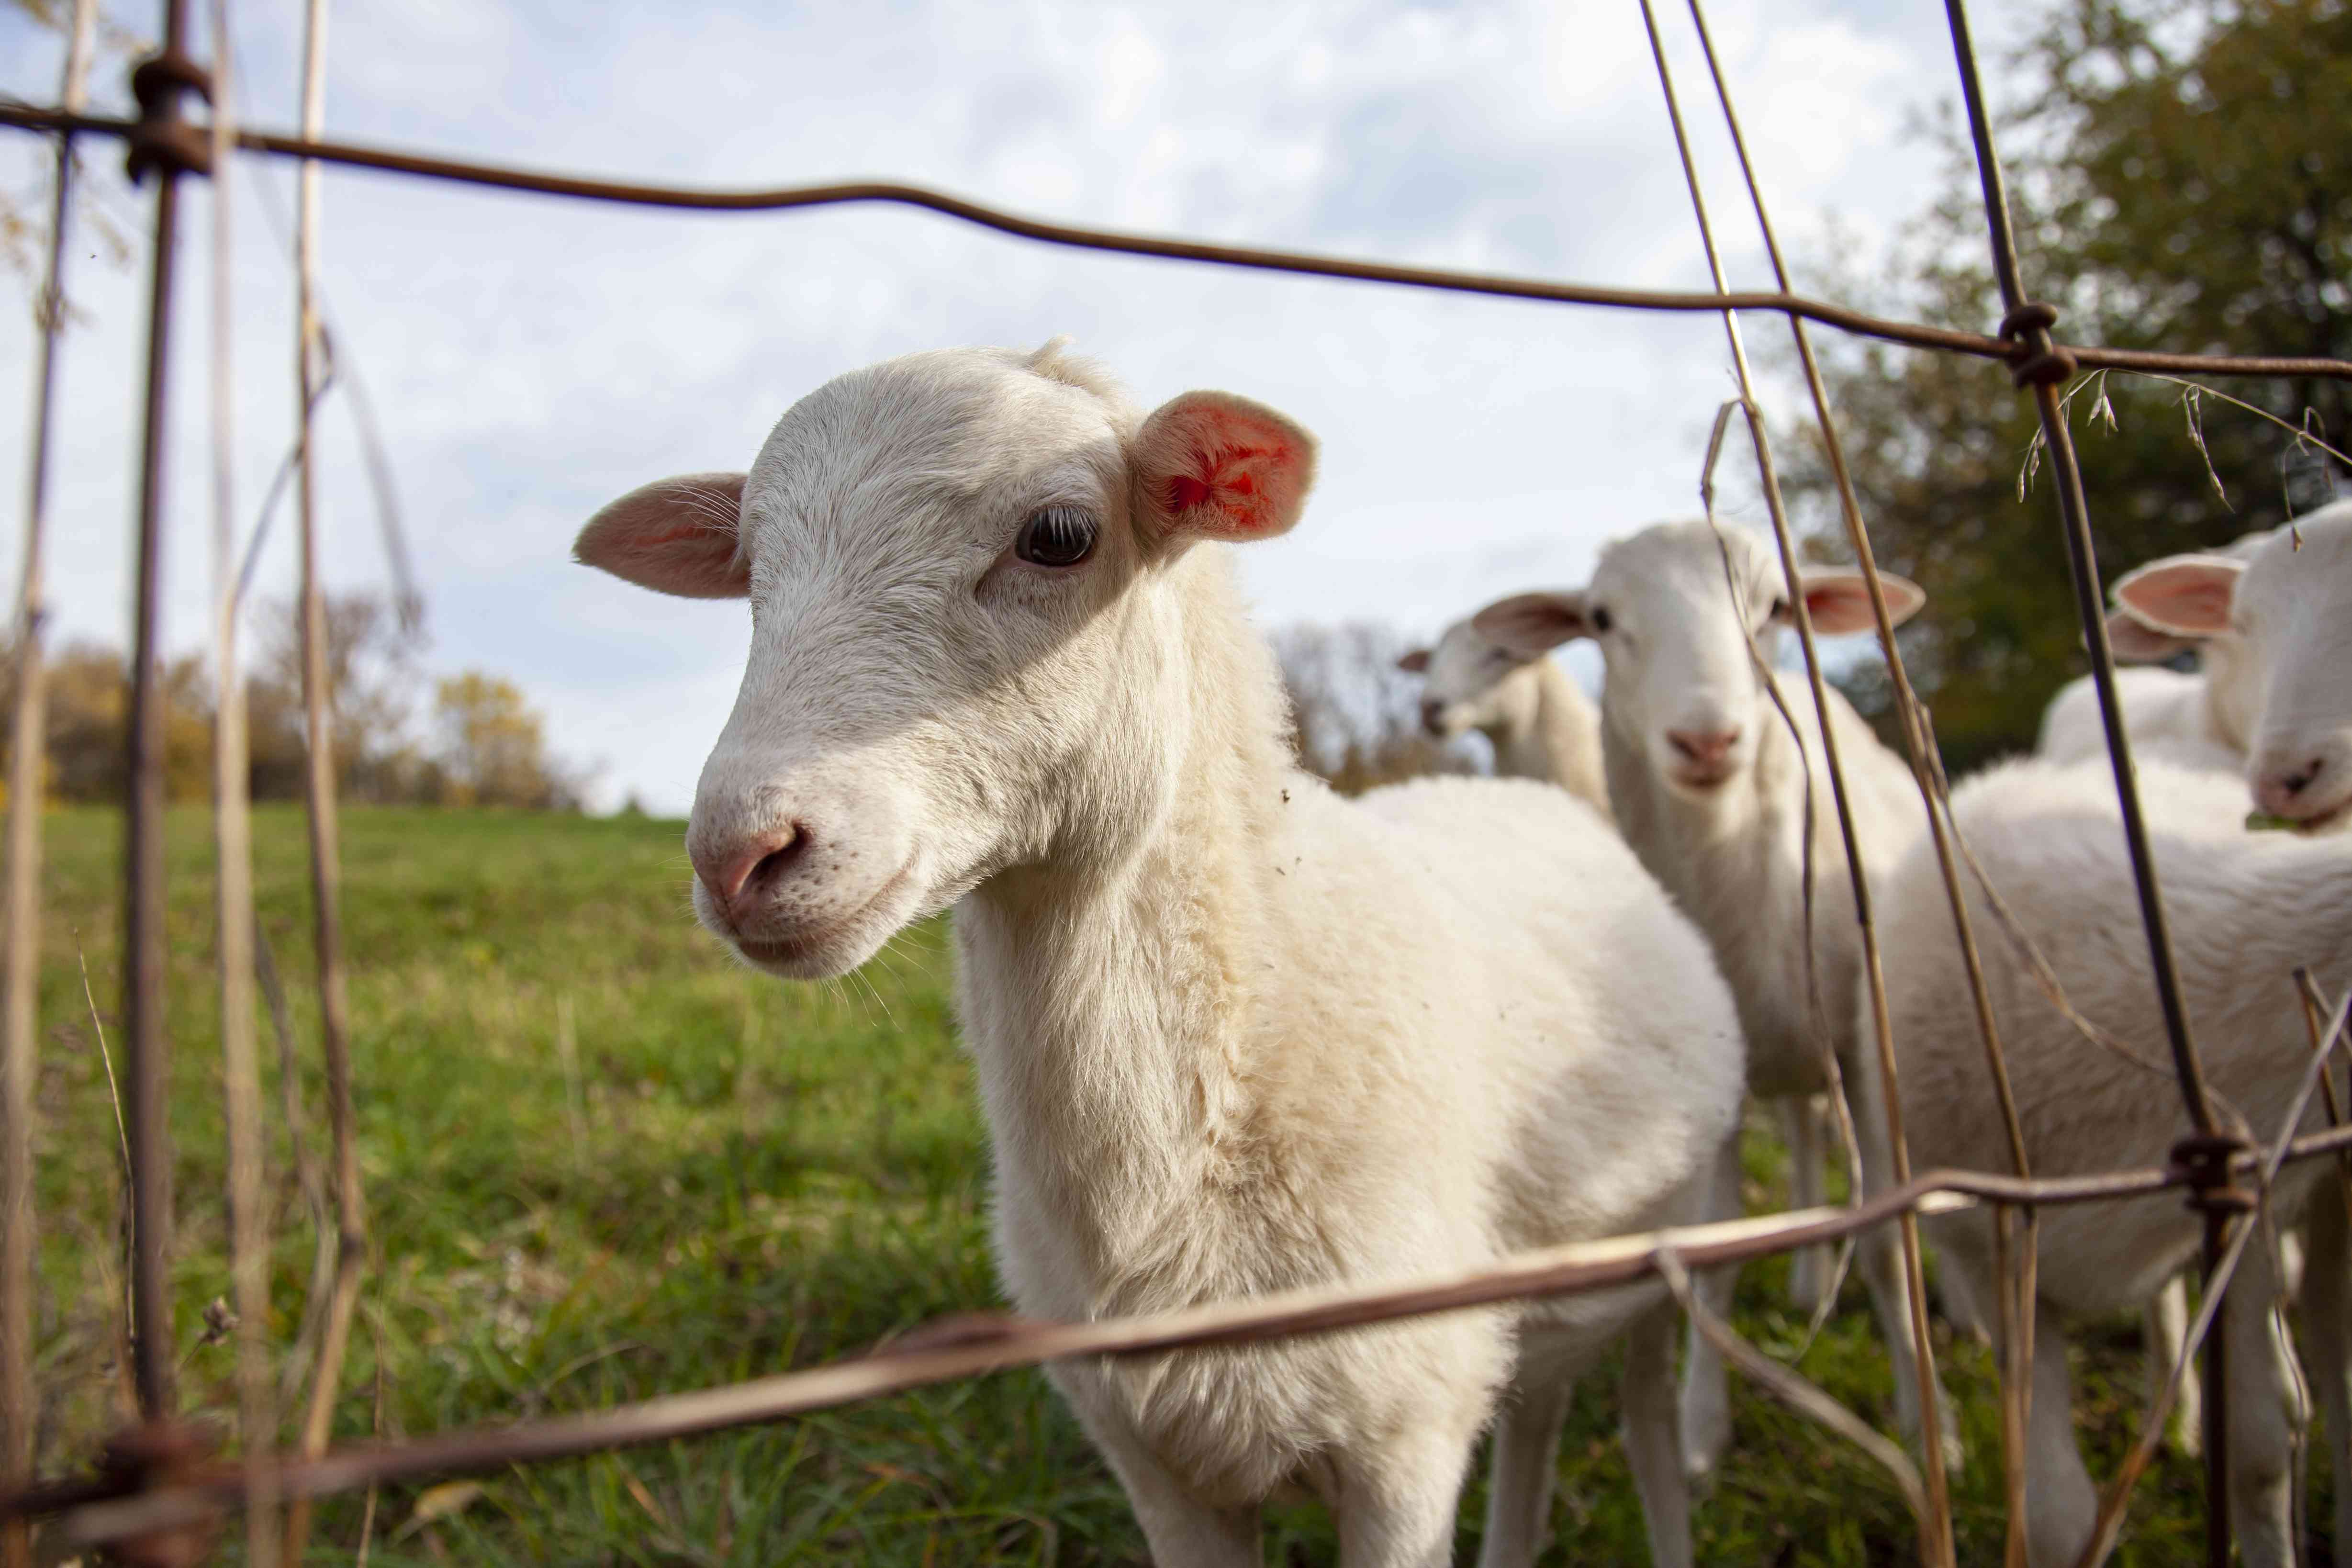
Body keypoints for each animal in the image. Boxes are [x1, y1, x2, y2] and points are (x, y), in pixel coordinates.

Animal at [1477, 524, 1957, 1486]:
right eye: (1600, 619)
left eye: (1774, 607)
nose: (1705, 740)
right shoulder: (1715, 1088)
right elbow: (1713, 1249)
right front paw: (1702, 1429)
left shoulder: (1865, 1048)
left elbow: (1889, 1243)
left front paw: (1928, 1427)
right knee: (1804, 1135)